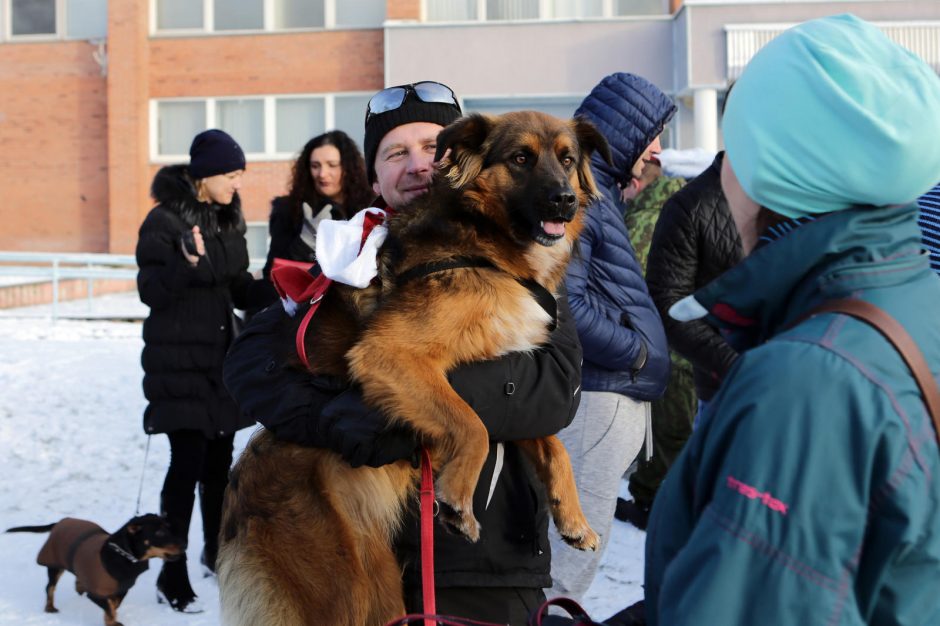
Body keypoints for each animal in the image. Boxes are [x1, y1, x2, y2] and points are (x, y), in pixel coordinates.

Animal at [218, 112, 612, 624]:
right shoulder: (389, 354)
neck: (483, 240)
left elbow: (550, 443)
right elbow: (472, 426)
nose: (565, 200)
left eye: (567, 160)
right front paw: (458, 500)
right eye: (521, 158)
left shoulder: (506, 373)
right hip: (346, 589)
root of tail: (237, 503)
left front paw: (573, 517)